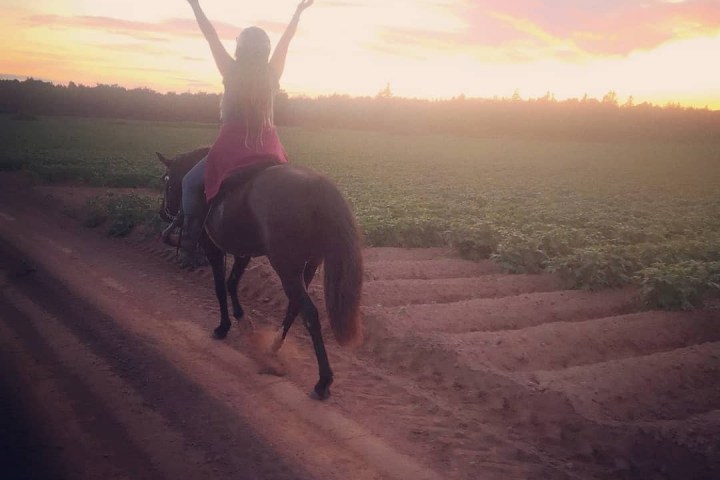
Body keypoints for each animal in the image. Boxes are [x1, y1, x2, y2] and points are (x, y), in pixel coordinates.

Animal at [156, 148, 363, 400]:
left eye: (166, 181)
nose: (163, 213)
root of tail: (319, 188)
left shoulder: (212, 247)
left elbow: (219, 287)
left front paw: (223, 327)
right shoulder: (243, 252)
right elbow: (231, 283)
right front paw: (243, 321)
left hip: (287, 267)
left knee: (310, 314)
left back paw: (323, 382)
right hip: (310, 264)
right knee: (295, 307)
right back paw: (274, 346)